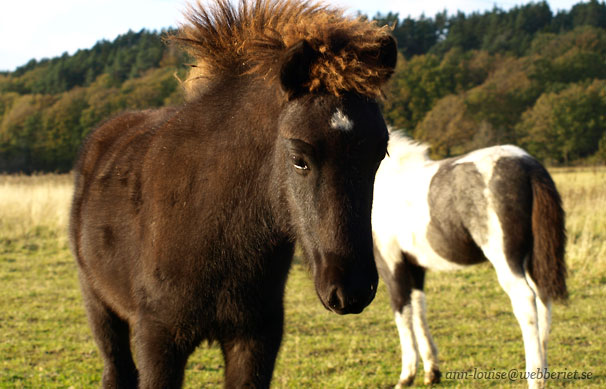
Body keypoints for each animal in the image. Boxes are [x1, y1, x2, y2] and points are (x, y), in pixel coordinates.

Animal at [69, 1, 400, 386]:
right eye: (299, 159)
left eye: (380, 154)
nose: (352, 290)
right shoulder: (158, 339)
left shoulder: (255, 338)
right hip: (99, 306)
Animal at [372, 131, 568, 388]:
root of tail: (529, 167)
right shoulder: (415, 266)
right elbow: (418, 309)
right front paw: (431, 372)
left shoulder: (392, 263)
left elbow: (402, 312)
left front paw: (406, 377)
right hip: (534, 260)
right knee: (544, 300)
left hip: (507, 260)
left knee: (526, 301)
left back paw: (534, 377)